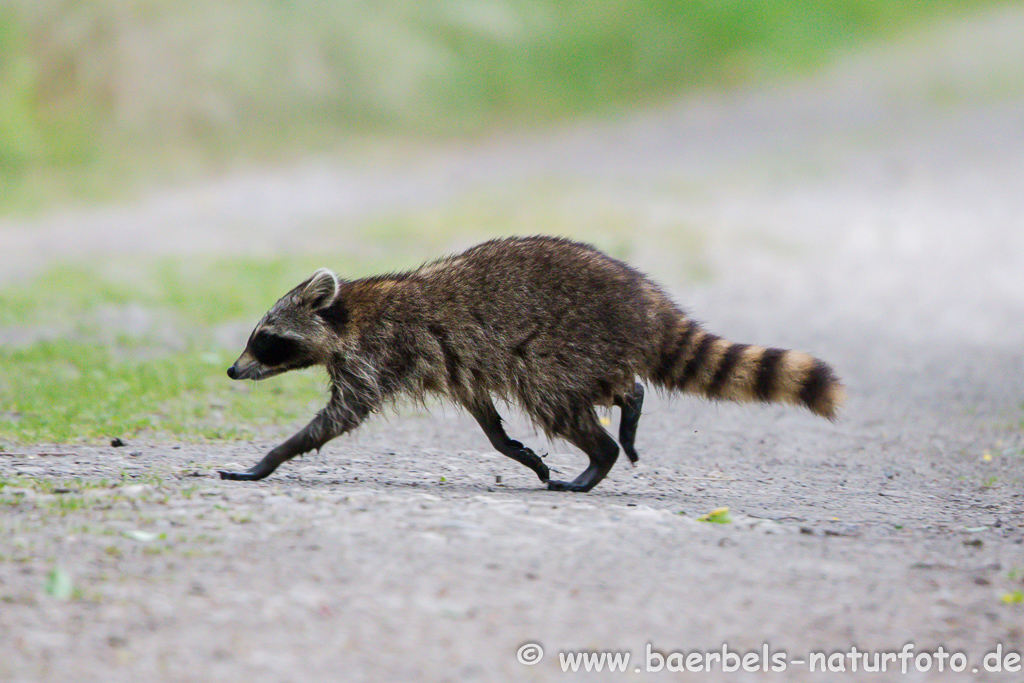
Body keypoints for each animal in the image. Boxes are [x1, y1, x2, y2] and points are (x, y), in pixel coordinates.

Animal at [220, 235, 843, 491]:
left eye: (266, 339)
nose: (232, 371)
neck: (347, 314)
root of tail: (647, 303)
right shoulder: (456, 365)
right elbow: (485, 417)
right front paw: (512, 449)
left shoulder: (378, 354)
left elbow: (339, 418)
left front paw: (269, 459)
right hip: (587, 352)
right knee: (613, 387)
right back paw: (628, 407)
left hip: (564, 344)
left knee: (555, 400)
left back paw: (601, 453)